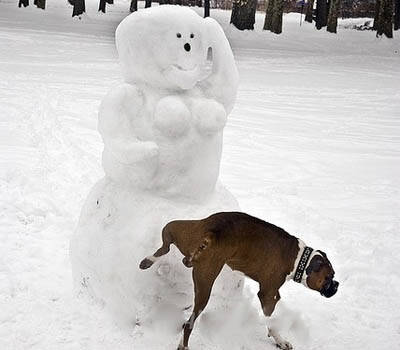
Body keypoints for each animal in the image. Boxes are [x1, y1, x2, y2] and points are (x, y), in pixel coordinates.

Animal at [139, 212, 340, 348]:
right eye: (328, 278)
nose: (337, 286)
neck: (300, 259)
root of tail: (213, 232)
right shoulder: (269, 295)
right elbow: (271, 322)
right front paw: (280, 340)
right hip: (205, 283)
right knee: (189, 324)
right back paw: (184, 345)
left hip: (184, 229)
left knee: (165, 244)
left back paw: (147, 261)